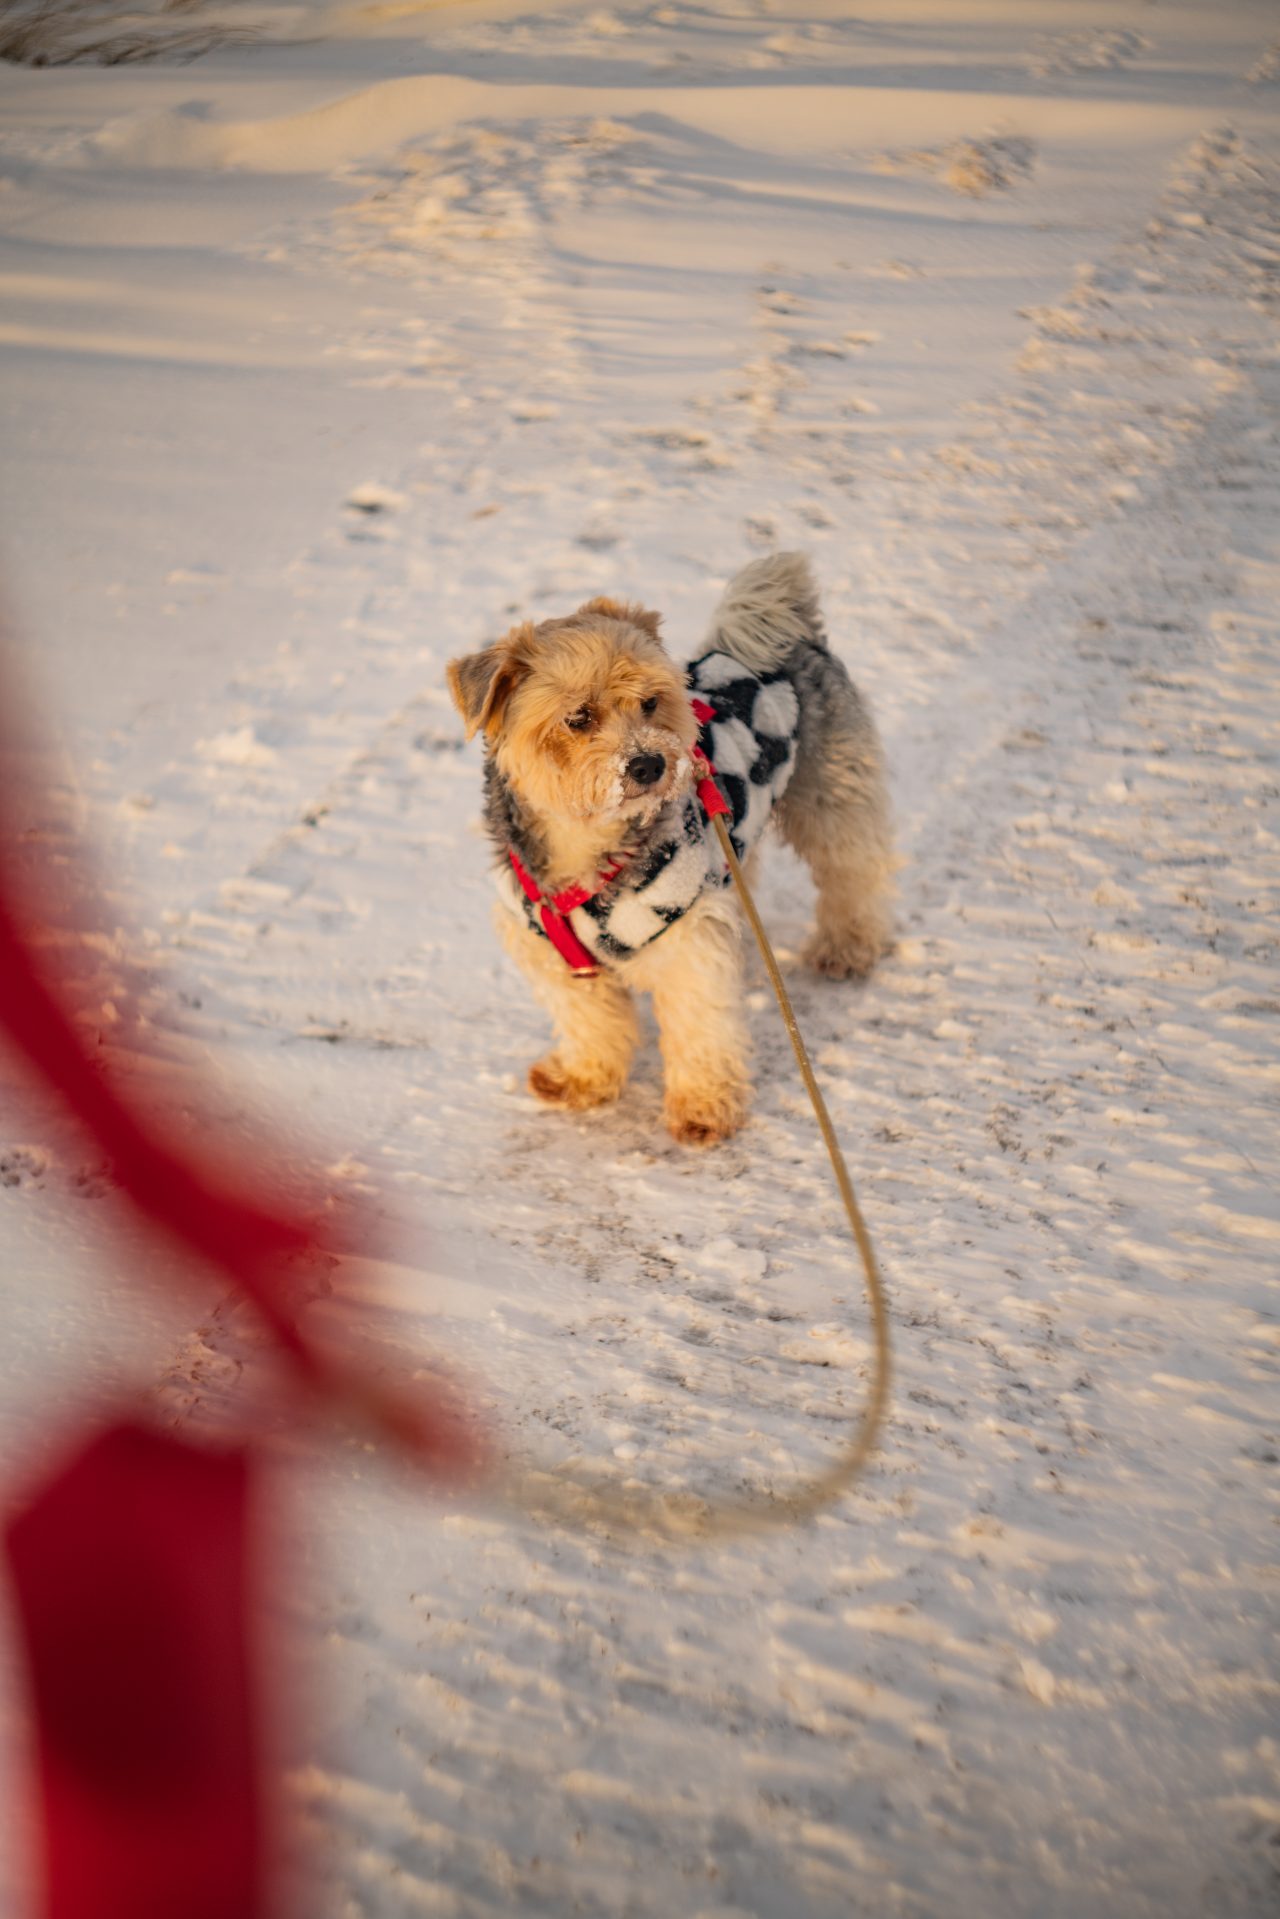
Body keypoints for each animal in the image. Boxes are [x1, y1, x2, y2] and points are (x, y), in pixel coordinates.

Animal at [445, 556, 898, 1151]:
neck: (588, 847)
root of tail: (789, 634)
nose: (649, 764)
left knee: (856, 875)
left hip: (833, 801)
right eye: (578, 717)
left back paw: (846, 949)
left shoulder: (689, 942)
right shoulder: (553, 955)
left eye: (650, 702)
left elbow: (700, 1029)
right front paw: (583, 1080)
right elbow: (590, 1024)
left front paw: (704, 1108)